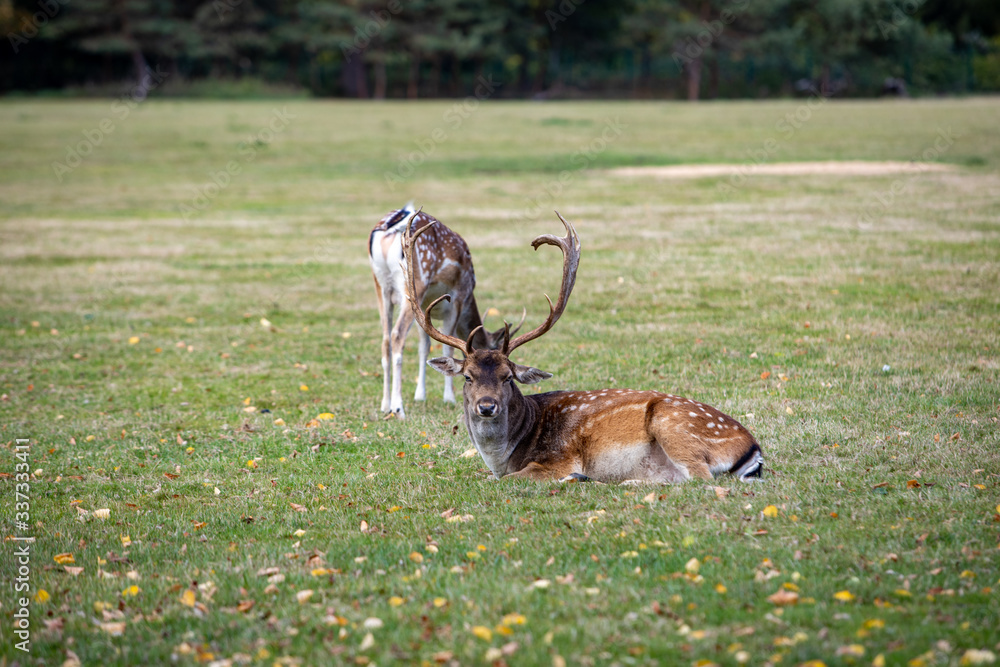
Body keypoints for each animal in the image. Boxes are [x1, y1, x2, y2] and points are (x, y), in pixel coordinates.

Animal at [368, 205, 524, 422]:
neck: (469, 300)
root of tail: (389, 227)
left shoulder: (424, 308)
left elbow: (424, 346)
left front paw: (420, 395)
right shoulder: (457, 298)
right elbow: (448, 347)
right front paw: (449, 398)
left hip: (381, 285)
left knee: (385, 338)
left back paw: (384, 405)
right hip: (415, 281)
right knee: (397, 335)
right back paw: (398, 408)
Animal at [402, 217, 760, 482]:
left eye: (508, 377)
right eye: (468, 377)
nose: (486, 406)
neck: (507, 455)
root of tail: (753, 447)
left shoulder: (558, 458)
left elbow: (508, 479)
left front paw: (573, 476)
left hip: (672, 425)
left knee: (700, 478)